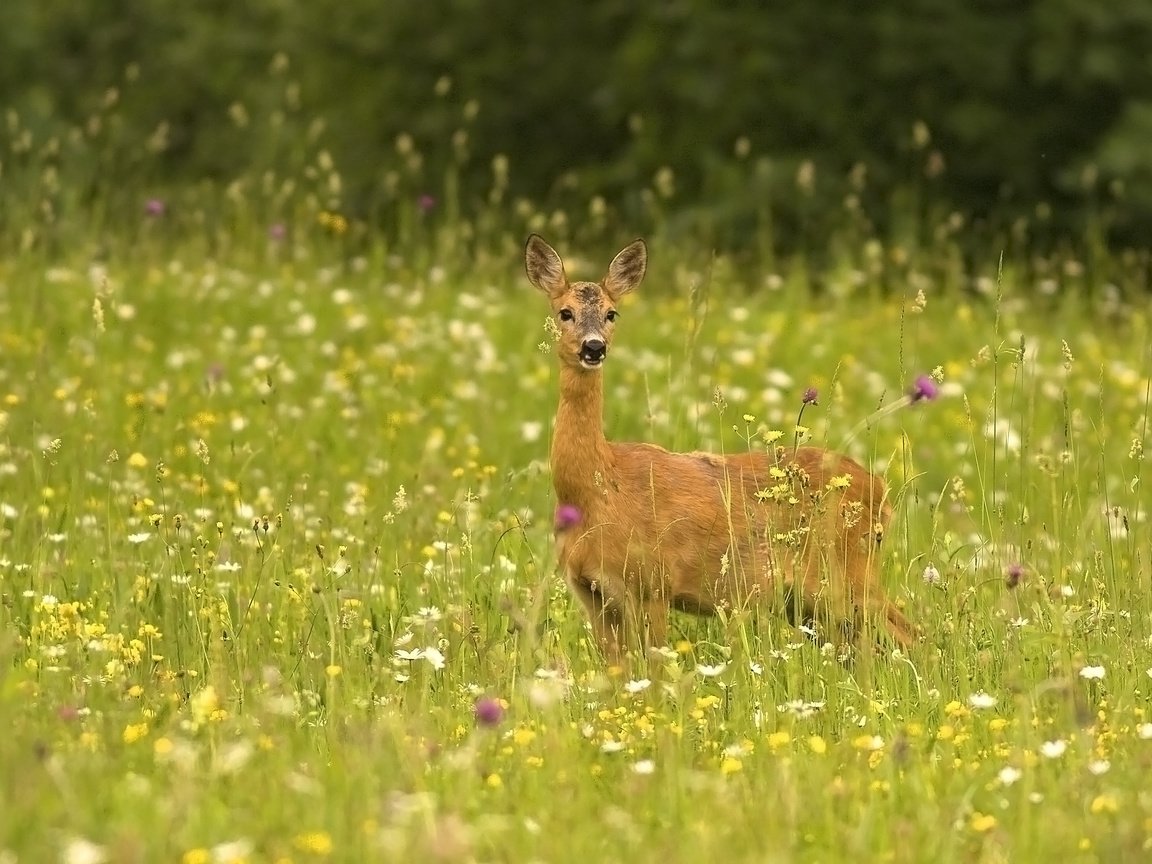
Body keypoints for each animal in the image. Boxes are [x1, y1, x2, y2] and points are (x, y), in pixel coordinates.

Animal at [527, 233, 916, 668]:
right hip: (808, 603)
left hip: (846, 574)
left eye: (613, 314)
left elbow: (655, 669)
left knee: (913, 634)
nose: (594, 347)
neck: (598, 490)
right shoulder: (590, 592)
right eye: (565, 312)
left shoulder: (653, 582)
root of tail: (881, 490)